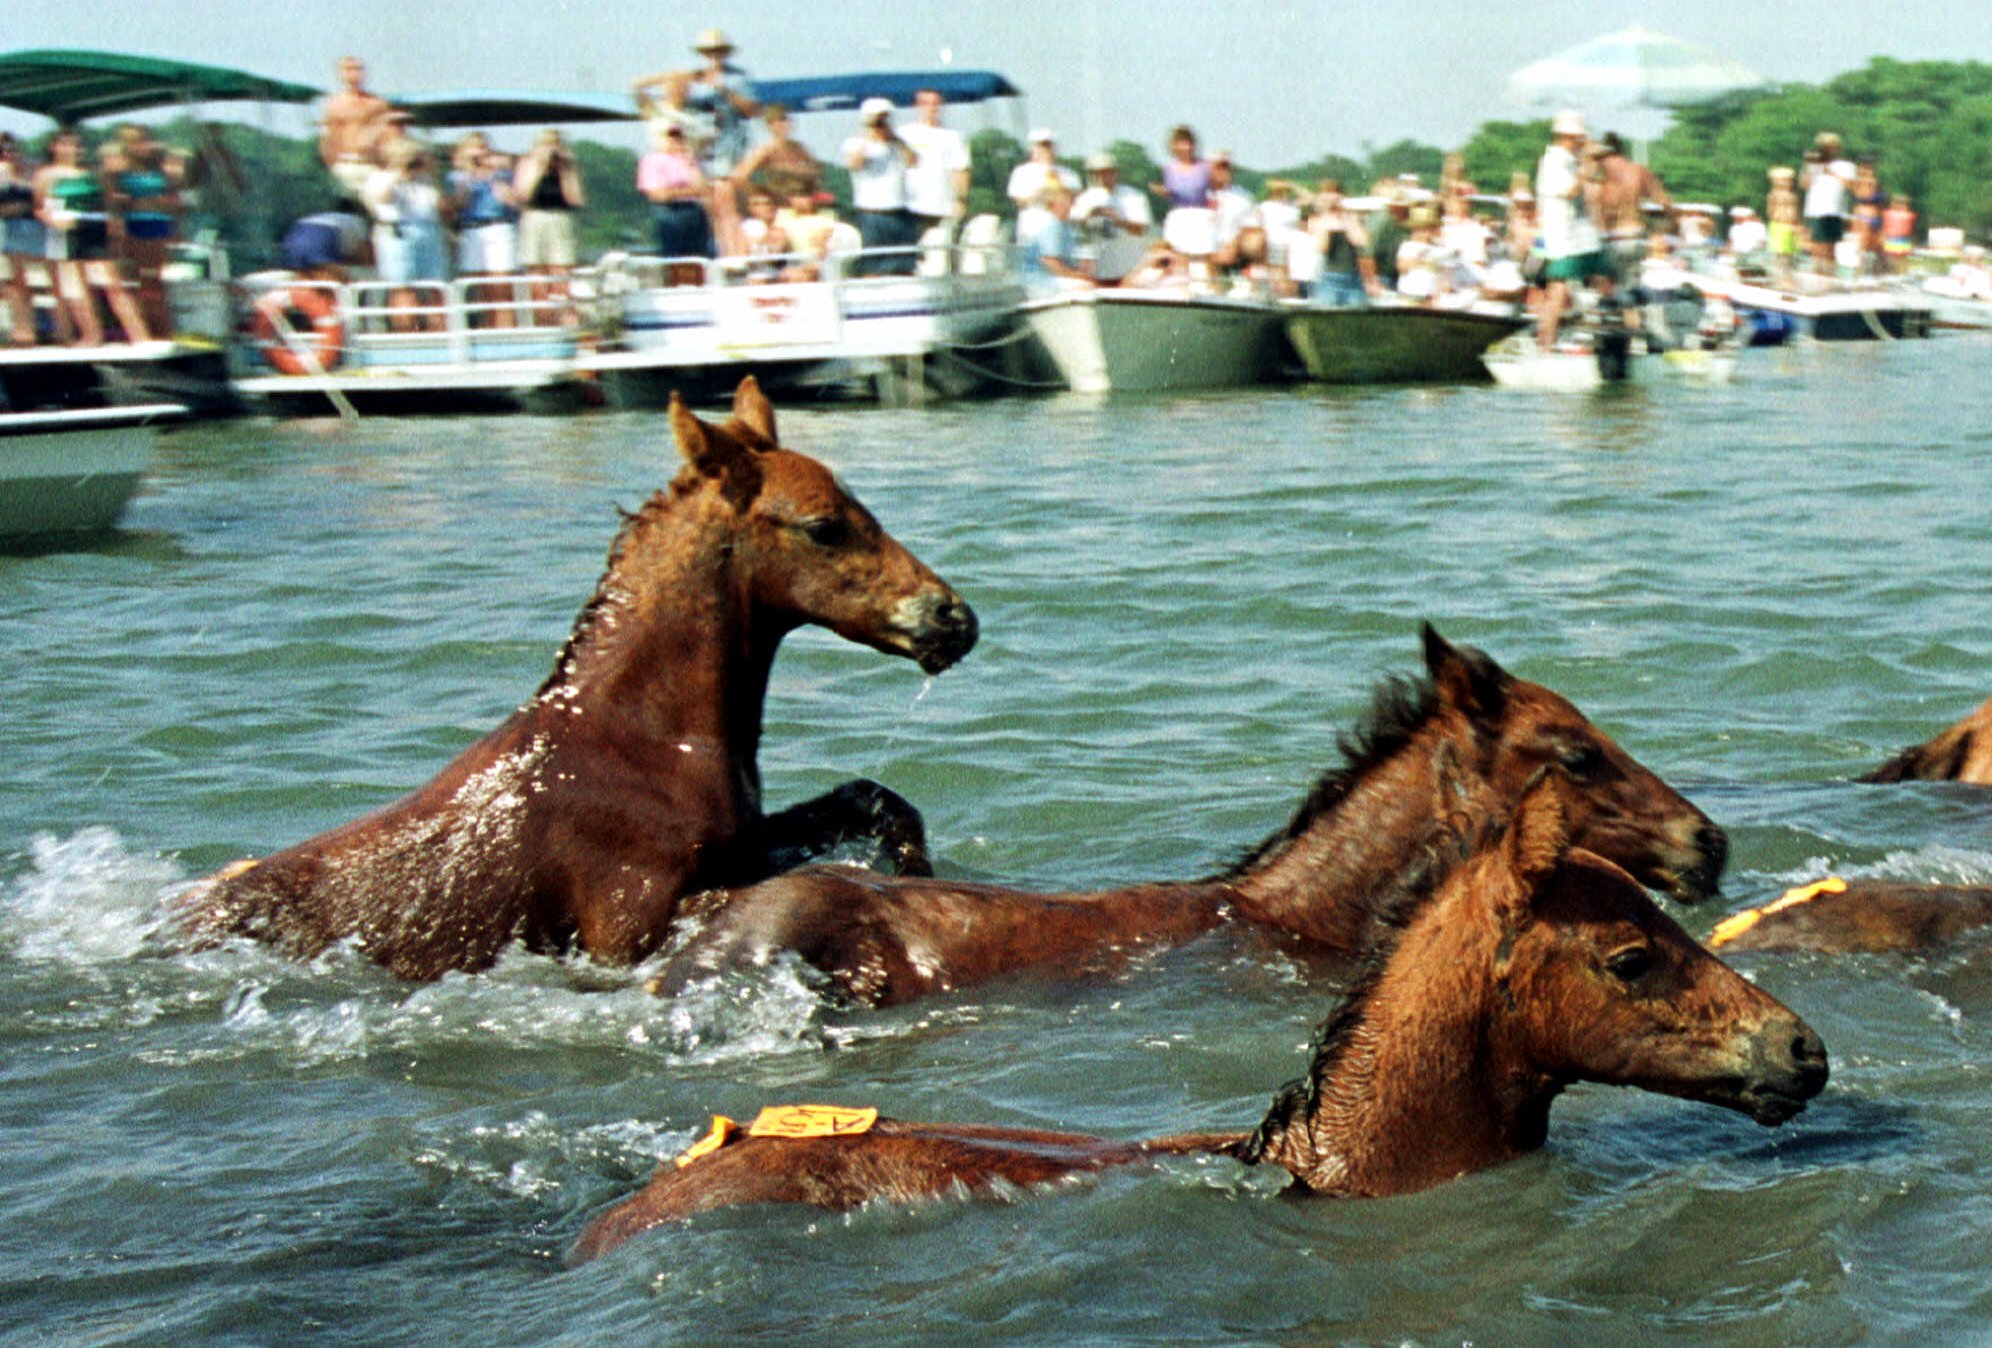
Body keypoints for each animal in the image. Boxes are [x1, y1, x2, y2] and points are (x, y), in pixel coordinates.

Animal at [174, 378, 978, 979]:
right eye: (823, 527)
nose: (954, 618)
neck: (637, 741)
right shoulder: (626, 930)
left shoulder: (748, 842)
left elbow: (873, 802)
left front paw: (920, 874)